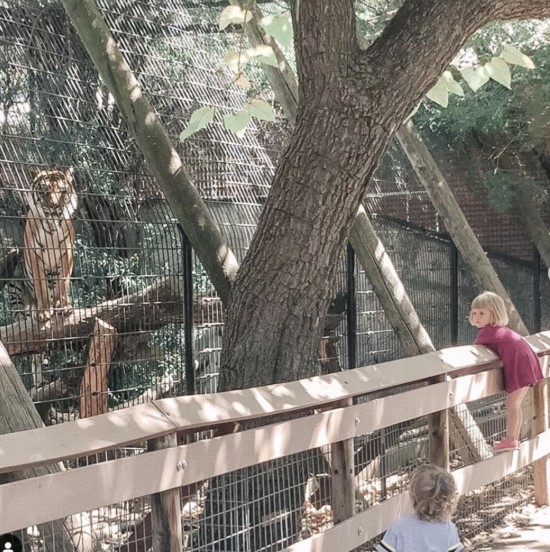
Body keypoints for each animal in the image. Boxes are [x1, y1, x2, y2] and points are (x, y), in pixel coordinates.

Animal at [23, 168, 77, 324]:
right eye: (44, 191)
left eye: (63, 191)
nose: (54, 206)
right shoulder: (35, 254)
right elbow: (41, 286)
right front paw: (43, 311)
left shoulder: (66, 252)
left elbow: (64, 282)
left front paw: (64, 306)